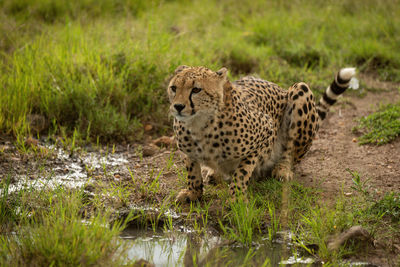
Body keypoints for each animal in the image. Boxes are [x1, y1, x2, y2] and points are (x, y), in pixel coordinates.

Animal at [166, 65, 356, 203]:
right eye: (174, 88)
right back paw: (214, 173)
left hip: (300, 90)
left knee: (291, 153)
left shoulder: (266, 132)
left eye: (196, 90)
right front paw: (193, 193)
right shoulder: (187, 150)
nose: (178, 106)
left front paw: (237, 198)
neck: (199, 124)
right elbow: (192, 172)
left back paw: (282, 169)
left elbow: (242, 172)